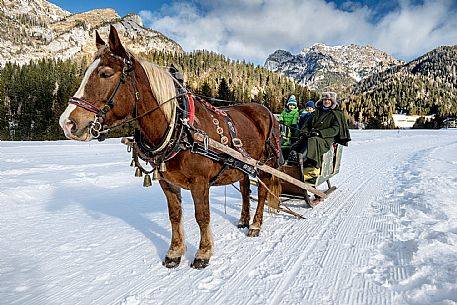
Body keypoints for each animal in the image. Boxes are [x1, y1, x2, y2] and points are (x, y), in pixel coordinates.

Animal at [58, 26, 282, 268]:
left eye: (106, 74)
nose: (67, 122)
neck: (179, 127)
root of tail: (267, 111)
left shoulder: (200, 181)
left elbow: (202, 216)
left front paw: (203, 252)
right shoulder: (167, 181)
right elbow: (175, 215)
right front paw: (175, 252)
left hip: (266, 163)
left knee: (261, 192)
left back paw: (255, 225)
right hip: (242, 165)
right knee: (244, 188)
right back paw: (243, 219)